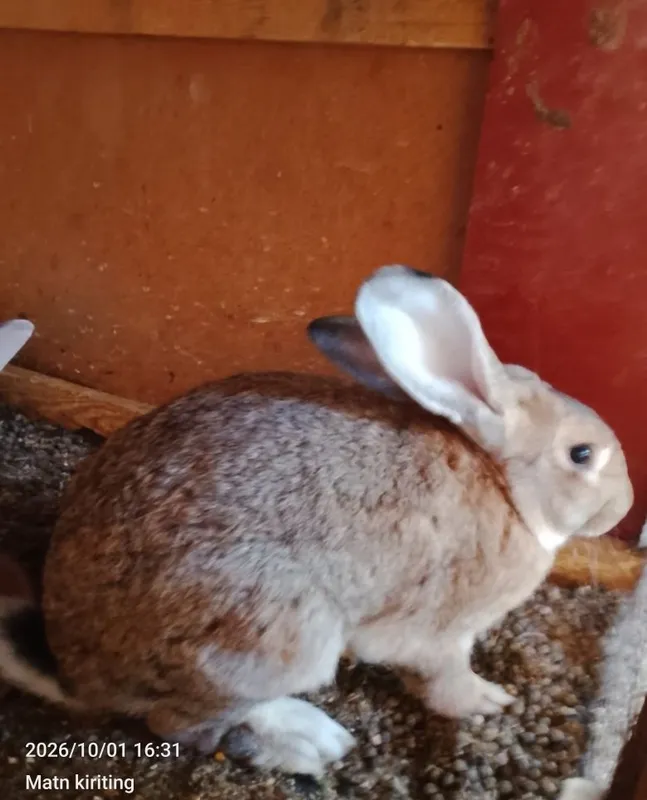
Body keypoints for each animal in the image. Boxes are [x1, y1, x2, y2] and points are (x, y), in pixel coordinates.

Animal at [0, 266, 633, 777]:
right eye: (581, 455)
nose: (625, 504)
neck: (504, 488)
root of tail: (79, 673)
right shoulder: (441, 632)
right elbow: (443, 680)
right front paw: (489, 702)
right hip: (276, 636)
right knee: (178, 724)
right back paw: (306, 744)